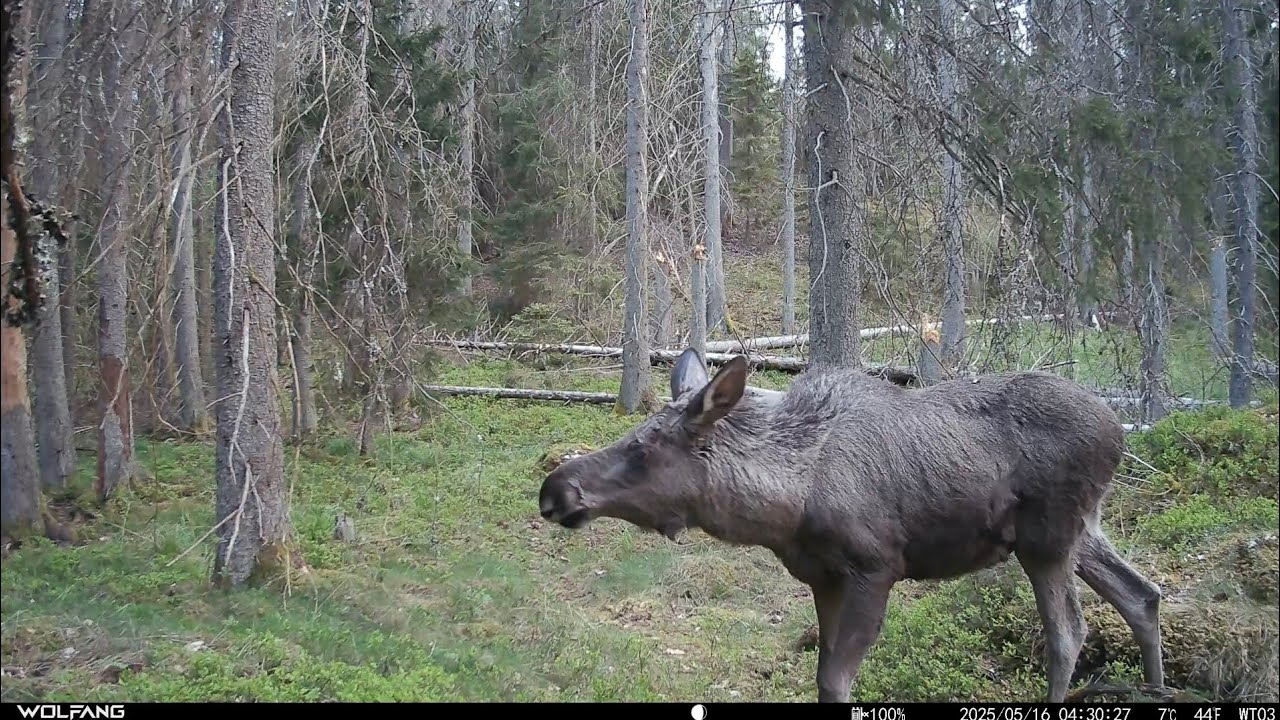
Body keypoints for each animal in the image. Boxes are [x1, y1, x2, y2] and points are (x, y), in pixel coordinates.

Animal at [538, 347, 1166, 703]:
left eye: (644, 449)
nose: (554, 490)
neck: (787, 503)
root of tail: (1120, 430)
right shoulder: (822, 577)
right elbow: (823, 679)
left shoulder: (876, 566)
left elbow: (838, 681)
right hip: (1080, 532)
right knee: (1142, 593)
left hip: (1047, 538)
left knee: (1069, 633)